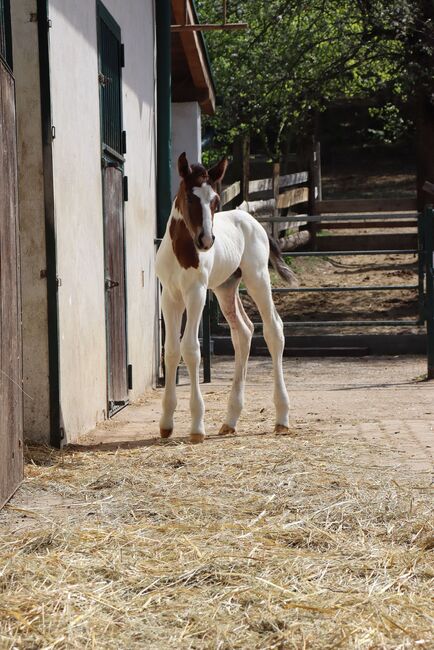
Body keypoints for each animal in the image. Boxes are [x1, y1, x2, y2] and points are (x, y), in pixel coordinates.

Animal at [154, 154, 296, 442]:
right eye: (190, 197)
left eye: (215, 200)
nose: (206, 241)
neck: (181, 252)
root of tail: (254, 221)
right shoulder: (169, 297)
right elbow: (171, 350)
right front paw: (166, 423)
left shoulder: (195, 294)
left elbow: (191, 348)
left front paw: (197, 426)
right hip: (225, 287)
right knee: (243, 331)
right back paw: (230, 420)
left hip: (257, 278)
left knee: (273, 329)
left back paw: (282, 418)